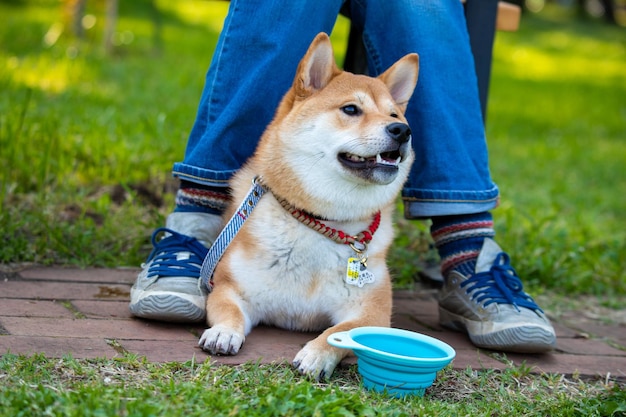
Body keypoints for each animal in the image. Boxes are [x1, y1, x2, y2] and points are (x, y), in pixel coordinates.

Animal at [197, 31, 416, 376]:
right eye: (351, 109)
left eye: (394, 114)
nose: (402, 130)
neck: (324, 223)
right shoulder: (231, 287)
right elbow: (227, 309)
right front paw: (223, 332)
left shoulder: (371, 311)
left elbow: (340, 332)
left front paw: (317, 353)